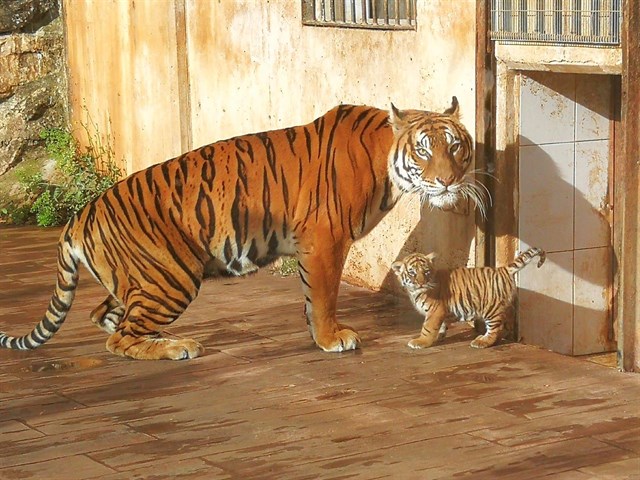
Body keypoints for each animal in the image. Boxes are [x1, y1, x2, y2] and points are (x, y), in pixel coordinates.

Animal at [0, 97, 485, 360]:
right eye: (423, 151)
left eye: (455, 147)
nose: (448, 181)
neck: (387, 161)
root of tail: (79, 216)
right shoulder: (326, 240)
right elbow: (324, 296)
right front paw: (331, 338)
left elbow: (312, 297)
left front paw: (318, 334)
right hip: (172, 277)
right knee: (120, 337)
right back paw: (177, 346)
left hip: (139, 279)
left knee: (105, 316)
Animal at [391, 247, 546, 349]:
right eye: (412, 273)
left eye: (426, 271)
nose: (421, 283)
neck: (415, 291)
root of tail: (502, 269)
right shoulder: (441, 311)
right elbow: (441, 325)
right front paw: (439, 336)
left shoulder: (435, 310)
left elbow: (428, 327)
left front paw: (421, 341)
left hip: (491, 309)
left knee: (495, 329)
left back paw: (482, 342)